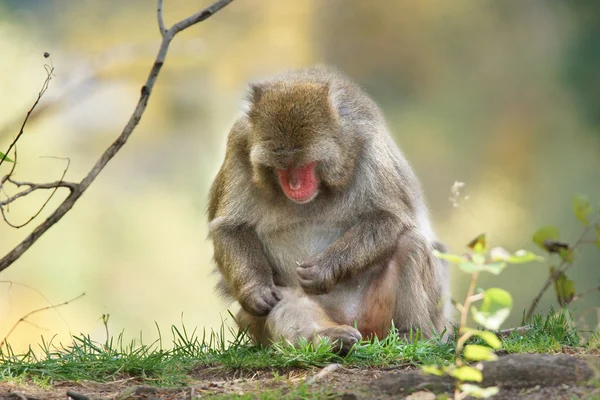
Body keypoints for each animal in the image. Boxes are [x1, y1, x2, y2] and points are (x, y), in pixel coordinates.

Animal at [206, 65, 450, 354]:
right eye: (281, 166)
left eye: (304, 165)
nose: (295, 186)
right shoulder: (239, 144)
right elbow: (230, 227)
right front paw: (255, 290)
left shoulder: (369, 143)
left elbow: (388, 216)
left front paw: (324, 270)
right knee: (285, 302)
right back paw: (328, 338)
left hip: (376, 318)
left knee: (410, 243)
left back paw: (413, 334)